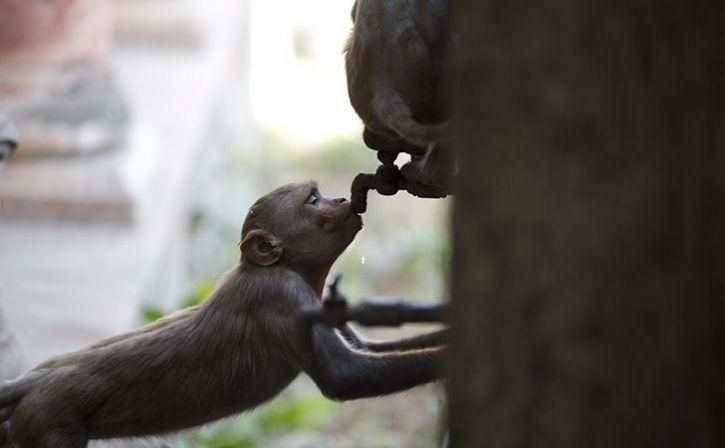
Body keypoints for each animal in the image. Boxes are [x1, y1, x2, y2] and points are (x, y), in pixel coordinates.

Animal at [0, 182, 444, 448]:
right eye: (313, 199)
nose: (342, 199)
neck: (283, 268)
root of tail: (32, 382)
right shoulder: (282, 296)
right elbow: (343, 376)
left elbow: (365, 346)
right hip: (48, 426)